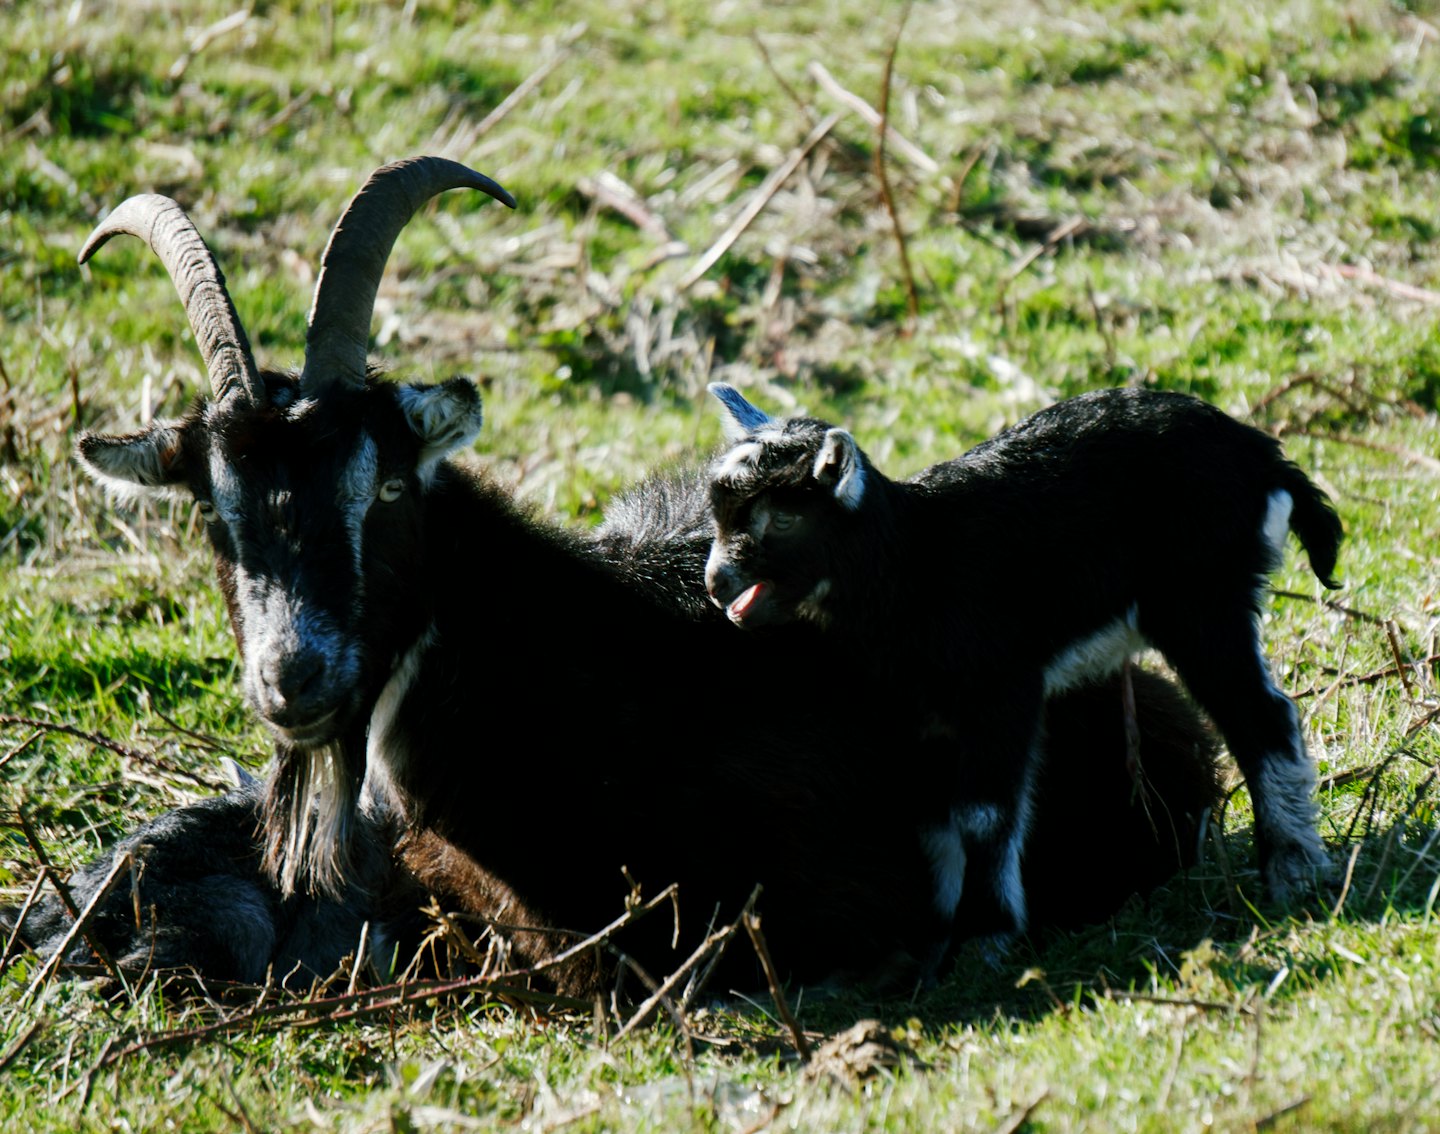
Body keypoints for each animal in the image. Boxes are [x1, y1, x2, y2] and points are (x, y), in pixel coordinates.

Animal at [704, 383, 1339, 944]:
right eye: (719, 515)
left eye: (785, 519)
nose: (716, 583)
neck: (918, 560)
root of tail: (1264, 457)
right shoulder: (923, 713)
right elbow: (935, 820)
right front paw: (942, 942)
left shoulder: (1001, 687)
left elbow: (982, 814)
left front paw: (988, 935)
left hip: (1202, 594)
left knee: (1262, 717)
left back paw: (1293, 873)